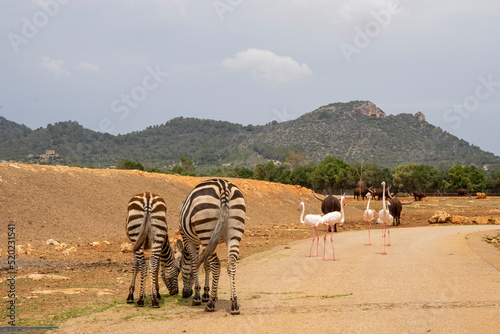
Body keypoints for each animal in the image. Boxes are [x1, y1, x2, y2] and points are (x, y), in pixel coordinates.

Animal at [180, 179, 246, 314]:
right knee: (231, 264)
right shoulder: (209, 243)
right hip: (233, 233)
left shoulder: (188, 239)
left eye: (181, 267)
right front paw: (208, 294)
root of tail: (223, 187)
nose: (185, 294)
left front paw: (198, 296)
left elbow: (195, 263)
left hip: (205, 229)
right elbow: (206, 264)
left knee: (216, 264)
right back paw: (234, 303)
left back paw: (210, 304)